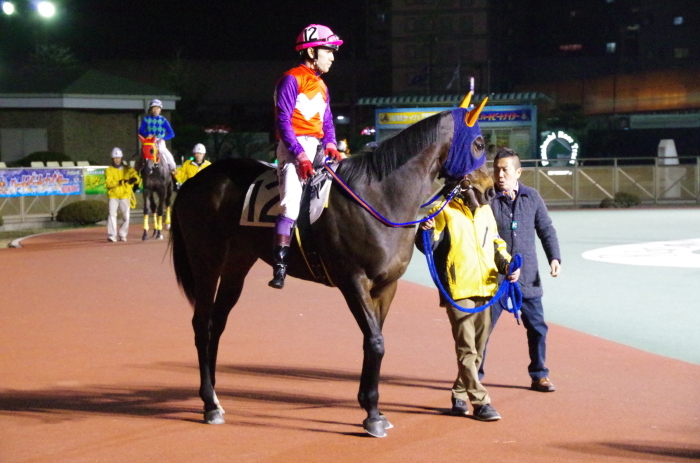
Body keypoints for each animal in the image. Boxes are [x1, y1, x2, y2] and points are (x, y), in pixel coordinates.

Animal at [170, 99, 492, 436]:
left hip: (237, 264)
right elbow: (376, 342)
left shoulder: (386, 286)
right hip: (206, 261)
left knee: (216, 324)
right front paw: (372, 415)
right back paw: (208, 403)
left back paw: (215, 399)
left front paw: (373, 407)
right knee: (201, 325)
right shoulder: (353, 280)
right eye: (479, 144)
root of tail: (193, 182)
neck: (380, 196)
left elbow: (373, 339)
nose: (490, 189)